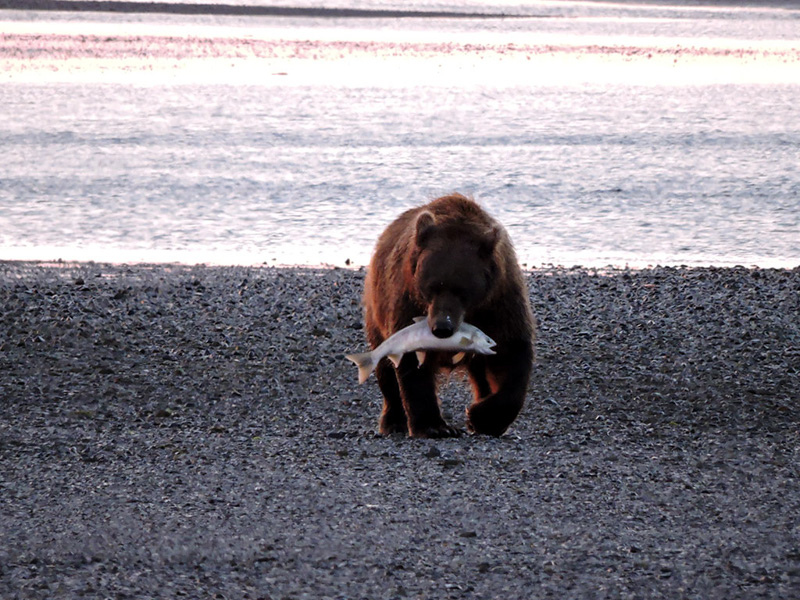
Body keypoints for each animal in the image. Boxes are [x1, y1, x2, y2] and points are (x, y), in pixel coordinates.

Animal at [360, 195, 536, 438]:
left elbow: (511, 353)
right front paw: (435, 426)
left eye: (462, 291)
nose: (442, 328)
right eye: (431, 287)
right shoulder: (408, 300)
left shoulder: (500, 303)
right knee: (385, 368)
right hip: (377, 310)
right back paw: (393, 422)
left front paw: (482, 417)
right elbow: (412, 364)